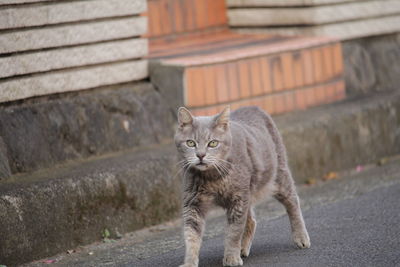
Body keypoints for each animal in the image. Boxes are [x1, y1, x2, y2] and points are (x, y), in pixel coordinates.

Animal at [174, 107, 310, 267]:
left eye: (213, 143)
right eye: (190, 143)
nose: (200, 155)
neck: (212, 177)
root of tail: (254, 107)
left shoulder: (238, 199)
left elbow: (234, 231)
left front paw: (231, 257)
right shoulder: (193, 203)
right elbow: (191, 236)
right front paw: (189, 262)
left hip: (279, 178)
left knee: (293, 203)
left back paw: (301, 237)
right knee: (251, 220)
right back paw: (243, 248)